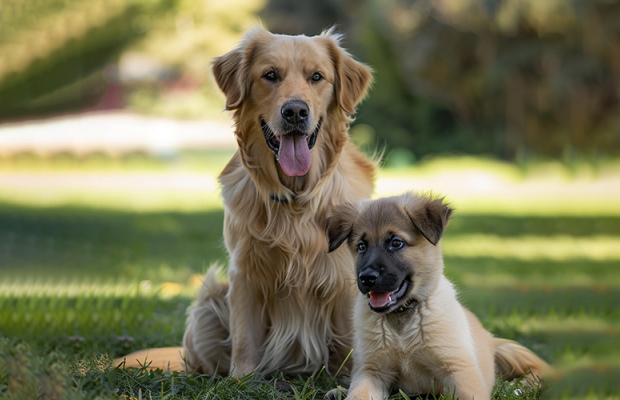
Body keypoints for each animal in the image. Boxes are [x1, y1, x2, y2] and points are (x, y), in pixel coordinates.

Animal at [116, 28, 378, 378]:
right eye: (270, 75)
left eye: (317, 77)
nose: (295, 112)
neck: (295, 199)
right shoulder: (243, 271)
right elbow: (245, 336)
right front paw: (242, 379)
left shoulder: (346, 276)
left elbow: (352, 341)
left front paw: (351, 380)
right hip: (209, 300)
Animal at [324, 192, 548, 398]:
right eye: (361, 247)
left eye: (396, 243)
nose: (367, 278)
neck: (402, 320)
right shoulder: (371, 370)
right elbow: (358, 394)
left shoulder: (460, 370)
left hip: (509, 350)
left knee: (539, 372)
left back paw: (518, 387)